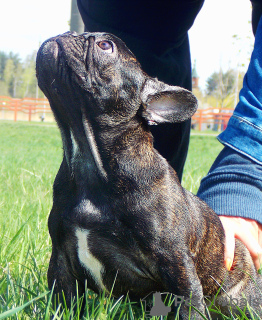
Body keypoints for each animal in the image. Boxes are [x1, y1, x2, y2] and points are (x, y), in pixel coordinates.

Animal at [36, 31, 262, 318]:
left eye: (105, 45)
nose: (66, 33)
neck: (87, 157)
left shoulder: (176, 264)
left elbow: (189, 306)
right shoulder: (61, 263)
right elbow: (63, 302)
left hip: (241, 300)